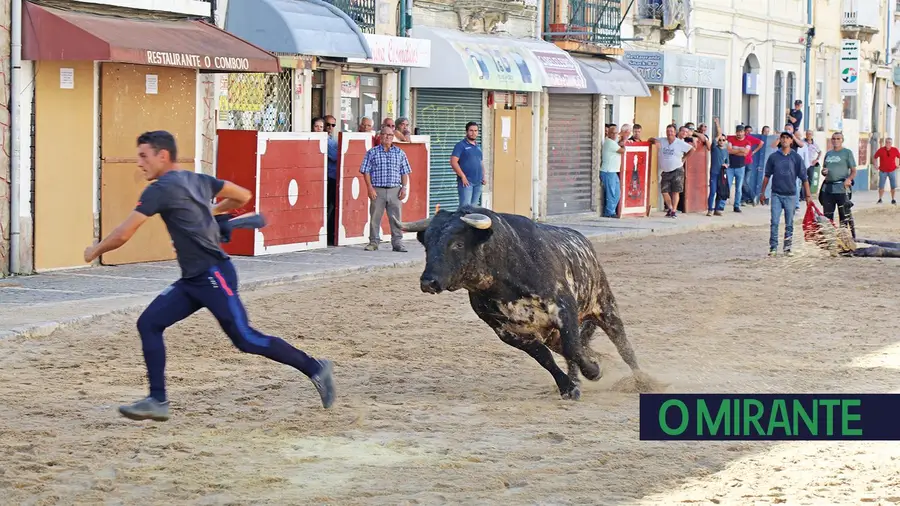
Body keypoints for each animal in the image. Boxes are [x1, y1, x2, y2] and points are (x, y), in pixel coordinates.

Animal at [392, 206, 640, 400]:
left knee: (623, 347)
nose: (428, 282)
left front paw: (594, 371)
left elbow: (573, 348)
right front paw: (569, 387)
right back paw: (580, 377)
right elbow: (546, 358)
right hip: (554, 335)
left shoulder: (563, 307)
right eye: (427, 244)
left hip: (605, 306)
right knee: (574, 350)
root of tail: (585, 243)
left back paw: (641, 381)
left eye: (458, 244)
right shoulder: (507, 331)